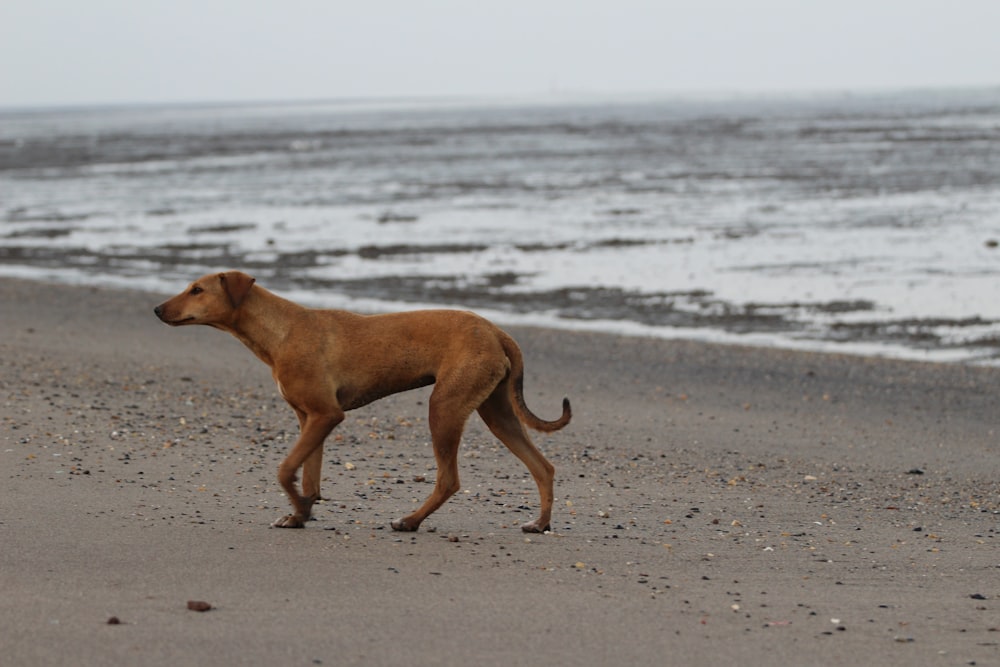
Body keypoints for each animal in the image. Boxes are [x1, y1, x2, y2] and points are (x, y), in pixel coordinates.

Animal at [151, 270, 568, 532]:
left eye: (197, 290)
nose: (156, 309)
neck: (281, 331)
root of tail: (496, 330)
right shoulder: (310, 419)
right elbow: (309, 474)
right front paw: (300, 513)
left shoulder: (326, 415)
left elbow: (285, 470)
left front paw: (299, 508)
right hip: (496, 411)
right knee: (543, 467)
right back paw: (540, 523)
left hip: (445, 408)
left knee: (449, 480)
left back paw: (410, 521)